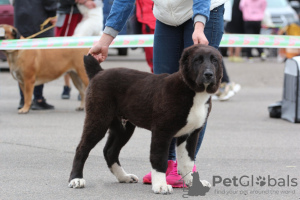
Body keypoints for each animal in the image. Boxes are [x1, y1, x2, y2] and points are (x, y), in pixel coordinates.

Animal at [68, 44, 223, 195]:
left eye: (214, 61)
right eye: (197, 60)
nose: (209, 74)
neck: (193, 92)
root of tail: (99, 72)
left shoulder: (190, 134)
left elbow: (188, 161)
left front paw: (192, 182)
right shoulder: (162, 131)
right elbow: (159, 158)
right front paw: (160, 185)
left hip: (123, 128)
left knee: (110, 151)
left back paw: (123, 177)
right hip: (98, 119)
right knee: (82, 148)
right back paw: (76, 179)